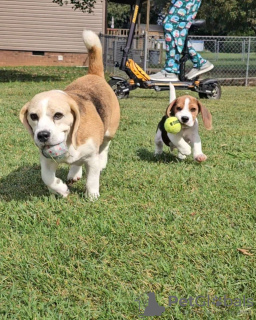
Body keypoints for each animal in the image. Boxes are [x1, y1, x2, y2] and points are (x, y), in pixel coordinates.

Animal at [19, 30, 120, 200]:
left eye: (58, 115)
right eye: (33, 116)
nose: (42, 135)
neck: (68, 140)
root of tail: (94, 74)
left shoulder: (92, 157)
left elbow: (92, 178)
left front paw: (92, 196)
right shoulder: (46, 159)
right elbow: (47, 177)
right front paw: (61, 190)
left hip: (109, 131)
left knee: (105, 146)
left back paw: (102, 162)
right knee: (77, 162)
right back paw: (74, 173)